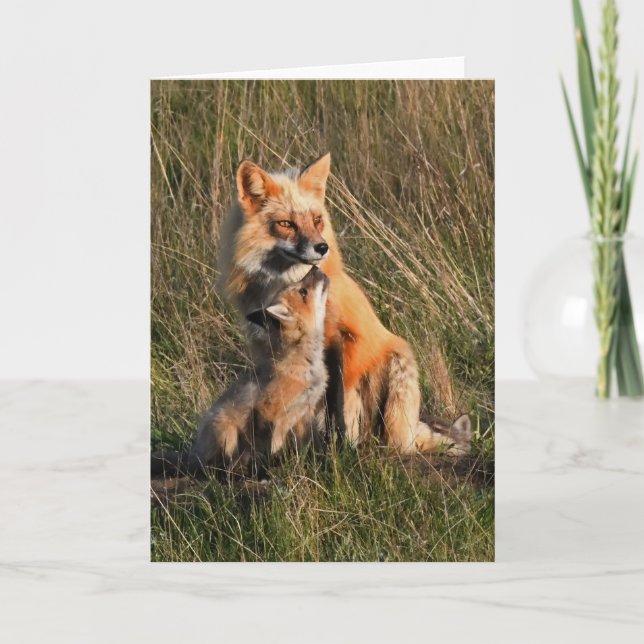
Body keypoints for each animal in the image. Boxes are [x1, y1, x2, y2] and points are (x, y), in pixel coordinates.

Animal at [152, 267, 329, 479]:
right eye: (303, 291)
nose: (316, 268)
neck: (305, 366)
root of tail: (194, 455)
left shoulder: (303, 414)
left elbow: (300, 446)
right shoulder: (268, 410)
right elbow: (269, 447)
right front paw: (270, 471)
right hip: (225, 430)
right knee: (219, 467)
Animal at [217, 153, 471, 455]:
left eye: (316, 220)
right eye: (286, 224)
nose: (322, 247)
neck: (282, 284)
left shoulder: (346, 341)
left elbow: (343, 408)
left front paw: (344, 449)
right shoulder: (265, 347)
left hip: (399, 365)